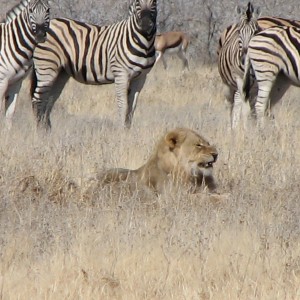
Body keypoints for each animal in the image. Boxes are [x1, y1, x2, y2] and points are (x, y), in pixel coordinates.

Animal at [30, 0, 157, 129]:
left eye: (154, 2)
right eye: (137, 2)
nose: (146, 25)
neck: (144, 42)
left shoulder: (141, 77)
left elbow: (132, 107)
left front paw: (128, 130)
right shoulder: (121, 74)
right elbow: (123, 105)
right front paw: (121, 130)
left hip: (61, 73)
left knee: (49, 99)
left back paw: (49, 130)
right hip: (47, 67)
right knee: (38, 99)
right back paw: (40, 130)